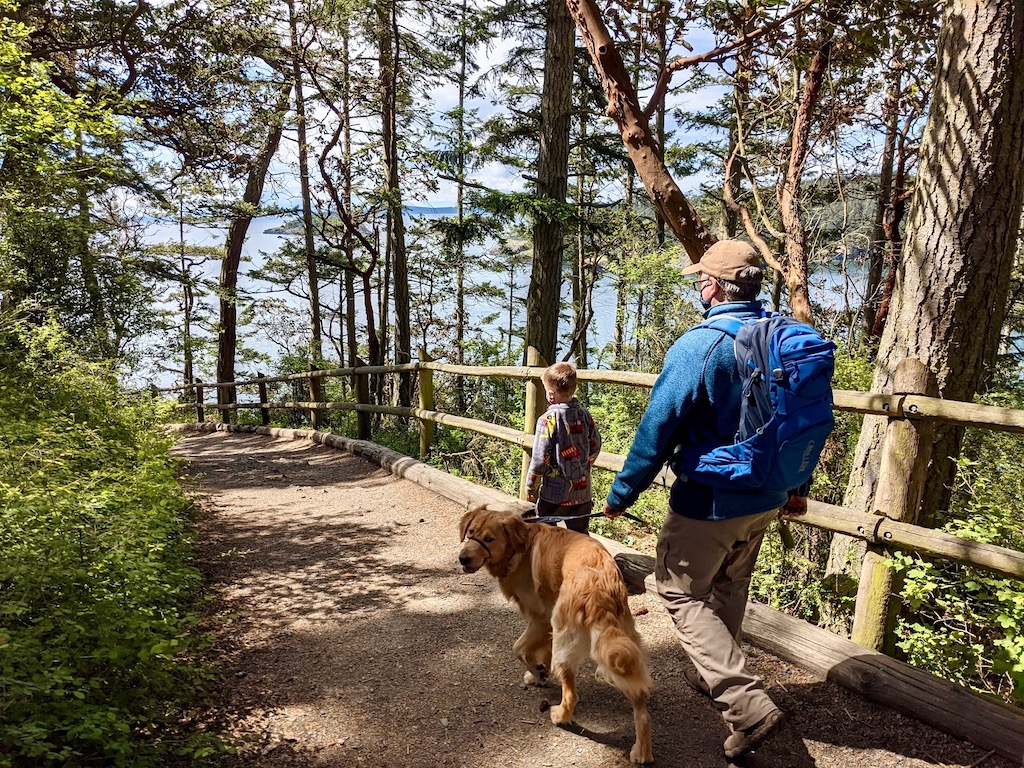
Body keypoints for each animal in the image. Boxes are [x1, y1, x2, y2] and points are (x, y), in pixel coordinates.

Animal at [458, 507, 651, 765]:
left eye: (489, 539)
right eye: (471, 532)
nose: (463, 558)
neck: (520, 547)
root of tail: (600, 588)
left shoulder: (541, 618)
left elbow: (518, 649)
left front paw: (538, 673)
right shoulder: (546, 622)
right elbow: (541, 651)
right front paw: (540, 671)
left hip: (566, 640)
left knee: (571, 695)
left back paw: (560, 715)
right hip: (625, 651)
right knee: (641, 706)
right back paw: (642, 752)